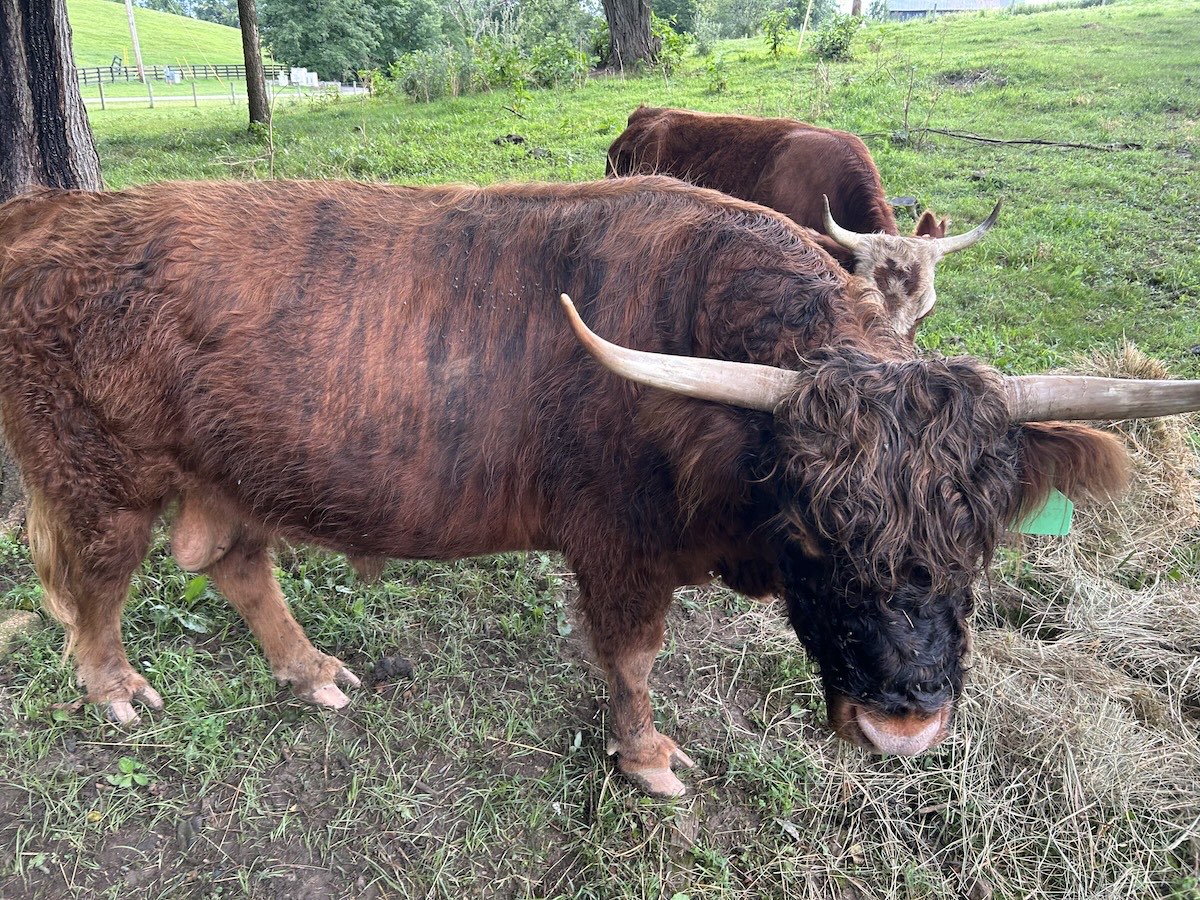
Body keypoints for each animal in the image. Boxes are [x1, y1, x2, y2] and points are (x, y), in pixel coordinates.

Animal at [2, 176, 1196, 799]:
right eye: (816, 529)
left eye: (978, 534)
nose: (908, 716)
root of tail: (55, 211)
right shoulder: (619, 548)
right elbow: (631, 659)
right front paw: (650, 759)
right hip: (92, 469)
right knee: (91, 580)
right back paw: (115, 688)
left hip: (232, 468)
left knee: (233, 561)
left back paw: (313, 673)